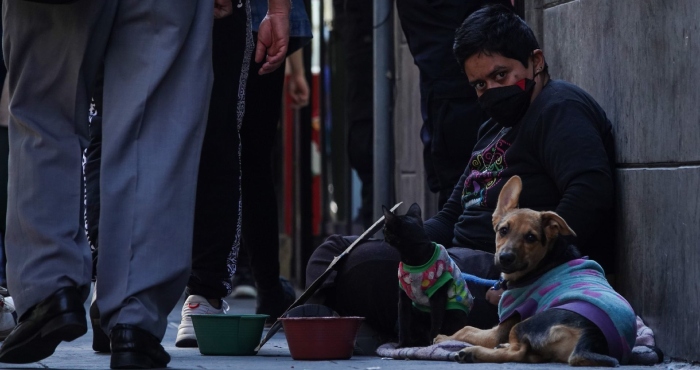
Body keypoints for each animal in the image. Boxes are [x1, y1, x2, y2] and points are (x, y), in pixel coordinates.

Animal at [382, 204, 476, 348]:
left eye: (386, 228)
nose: (382, 231)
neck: (413, 260)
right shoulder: (403, 297)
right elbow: (404, 322)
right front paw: (402, 345)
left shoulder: (437, 296)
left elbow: (436, 324)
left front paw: (434, 343)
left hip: (455, 313)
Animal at [434, 177, 636, 368]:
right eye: (503, 230)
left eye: (531, 238)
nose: (505, 258)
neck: (543, 262)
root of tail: (590, 336)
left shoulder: (500, 328)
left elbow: (467, 329)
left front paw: (444, 338)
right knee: (528, 354)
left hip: (527, 323)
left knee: (517, 353)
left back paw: (472, 352)